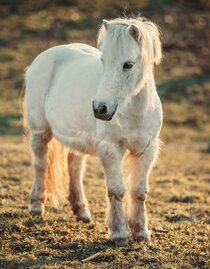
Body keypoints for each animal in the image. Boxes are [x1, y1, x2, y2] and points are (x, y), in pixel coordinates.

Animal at [24, 16, 162, 245]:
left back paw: (81, 212)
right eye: (103, 61)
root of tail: (47, 55)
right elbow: (116, 191)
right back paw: (36, 206)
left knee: (75, 169)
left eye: (128, 64)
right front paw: (119, 233)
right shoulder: (110, 149)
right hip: (40, 132)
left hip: (76, 139)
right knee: (40, 165)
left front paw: (141, 231)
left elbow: (139, 191)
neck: (133, 111)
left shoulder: (146, 150)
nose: (100, 108)